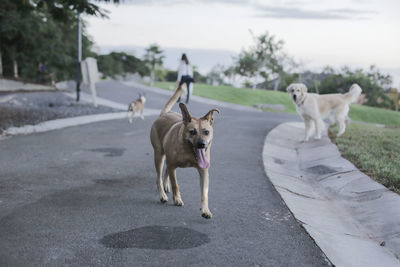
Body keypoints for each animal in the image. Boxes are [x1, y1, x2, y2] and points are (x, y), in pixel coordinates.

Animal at [150, 87, 219, 219]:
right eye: (192, 132)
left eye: (206, 132)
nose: (202, 144)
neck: (188, 152)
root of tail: (164, 114)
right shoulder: (172, 166)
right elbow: (175, 184)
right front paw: (177, 199)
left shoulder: (204, 171)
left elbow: (204, 193)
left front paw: (205, 210)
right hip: (159, 156)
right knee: (158, 177)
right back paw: (162, 194)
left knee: (166, 172)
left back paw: (166, 185)